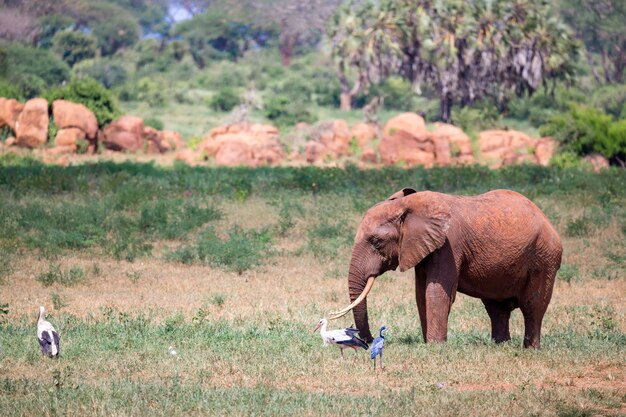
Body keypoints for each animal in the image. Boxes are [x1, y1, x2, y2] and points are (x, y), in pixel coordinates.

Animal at [326, 188, 560, 348]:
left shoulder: (449, 244)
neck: (408, 205)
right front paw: (429, 343)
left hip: (544, 258)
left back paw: (530, 349)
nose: (374, 338)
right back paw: (500, 345)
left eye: (376, 242)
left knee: (532, 305)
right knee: (496, 308)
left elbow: (436, 292)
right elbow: (420, 294)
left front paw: (435, 346)